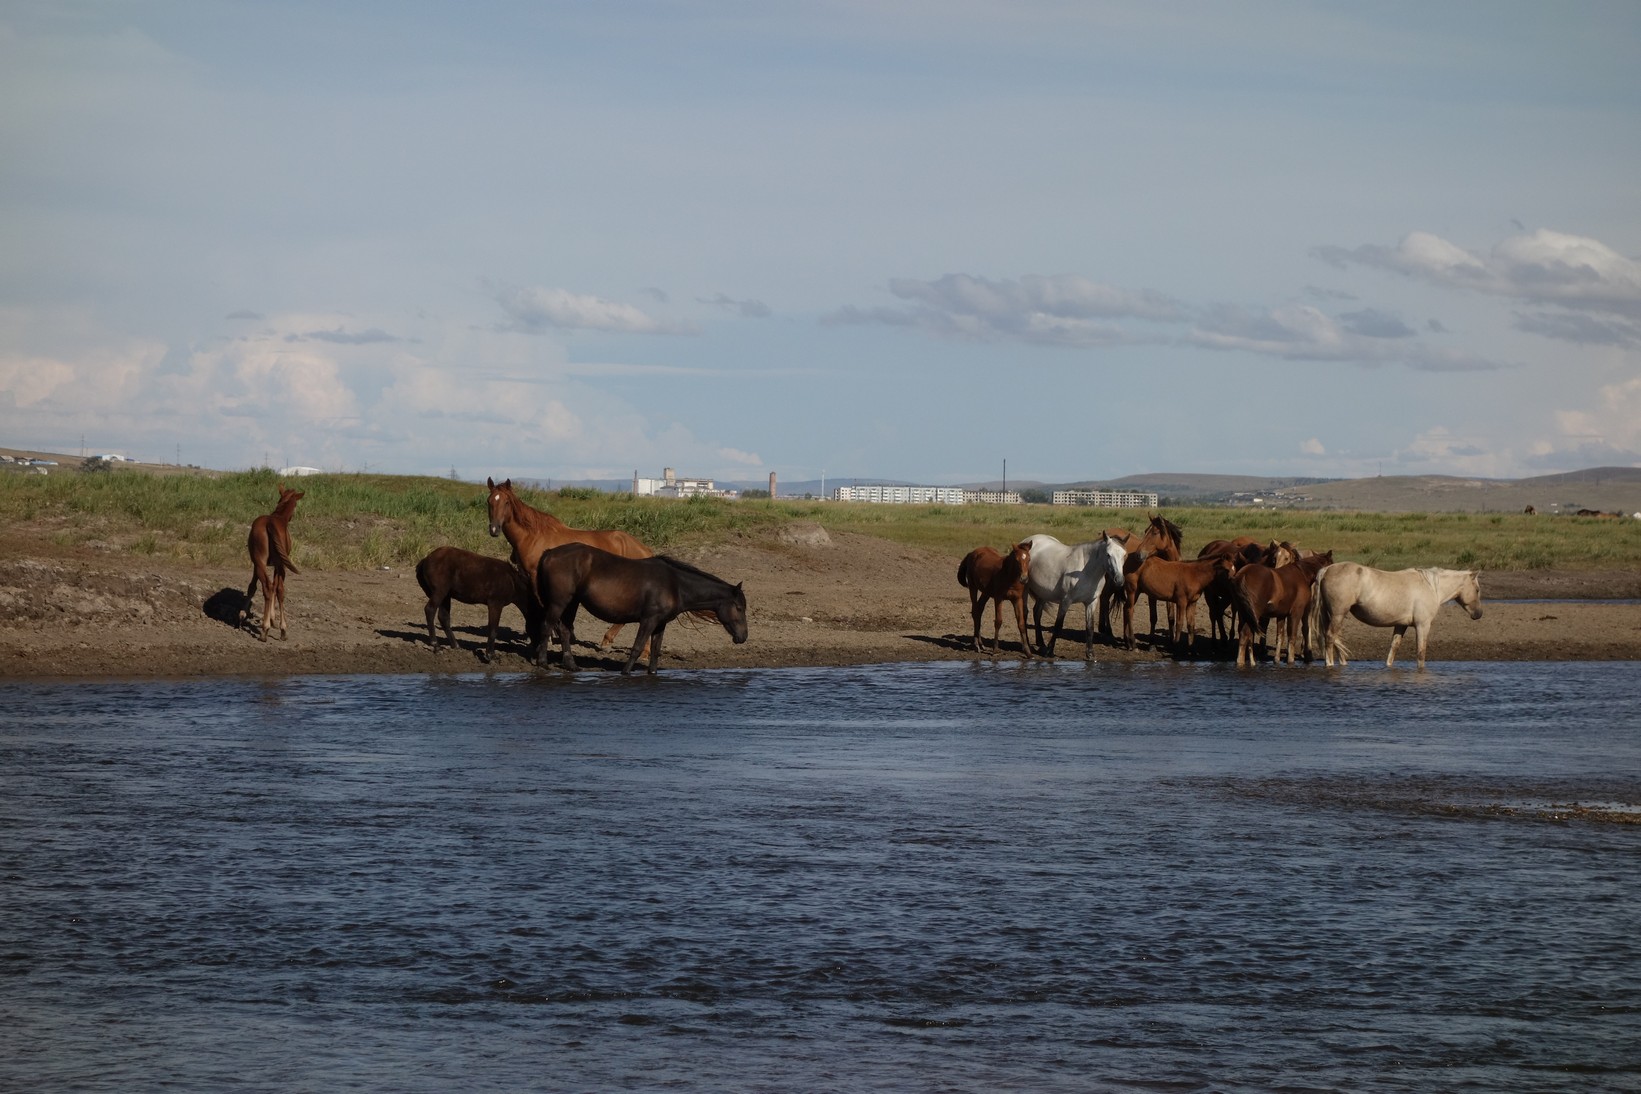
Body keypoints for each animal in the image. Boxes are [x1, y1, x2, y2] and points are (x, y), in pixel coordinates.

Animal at [413, 544, 541, 662]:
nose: (536, 657)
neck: (511, 580)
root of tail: (426, 559)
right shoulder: (495, 604)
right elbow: (493, 629)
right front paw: (490, 655)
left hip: (446, 596)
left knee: (443, 617)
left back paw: (456, 645)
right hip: (440, 592)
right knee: (430, 610)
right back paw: (436, 646)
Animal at [482, 475, 649, 656]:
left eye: (506, 502)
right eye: (489, 501)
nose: (494, 529)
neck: (533, 536)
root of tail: (643, 549)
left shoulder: (535, 576)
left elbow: (542, 603)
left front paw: (548, 637)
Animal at [534, 541, 748, 672]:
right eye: (739, 608)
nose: (743, 636)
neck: (675, 584)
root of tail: (549, 553)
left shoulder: (660, 623)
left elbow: (655, 650)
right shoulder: (648, 620)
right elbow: (637, 648)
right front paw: (625, 672)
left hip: (572, 603)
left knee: (564, 630)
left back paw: (571, 665)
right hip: (559, 602)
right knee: (546, 626)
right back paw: (542, 662)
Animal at [1010, 531, 1129, 659]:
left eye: (1124, 555)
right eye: (1108, 554)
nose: (1119, 580)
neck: (1085, 572)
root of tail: (1026, 541)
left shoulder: (1091, 602)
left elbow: (1090, 627)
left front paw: (1090, 654)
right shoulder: (1066, 601)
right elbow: (1058, 626)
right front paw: (1049, 651)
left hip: (1043, 593)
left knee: (1037, 612)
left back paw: (1041, 643)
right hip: (1025, 589)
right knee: (1024, 613)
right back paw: (1028, 645)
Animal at [1306, 564, 1490, 669]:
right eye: (1477, 590)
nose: (1479, 614)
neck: (1431, 587)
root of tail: (1327, 569)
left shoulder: (1401, 625)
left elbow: (1393, 648)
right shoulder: (1422, 626)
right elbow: (1421, 653)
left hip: (1331, 615)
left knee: (1334, 638)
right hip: (1338, 614)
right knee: (1330, 637)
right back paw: (1329, 664)